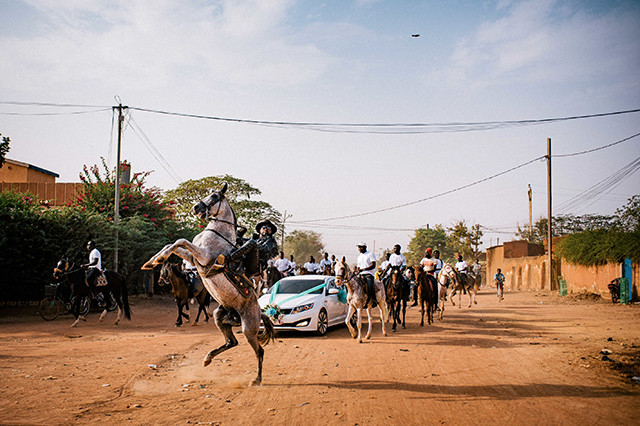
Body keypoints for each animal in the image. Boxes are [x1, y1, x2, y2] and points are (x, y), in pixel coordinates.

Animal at [142, 183, 276, 386]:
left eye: (214, 196)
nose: (196, 207)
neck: (217, 234)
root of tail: (260, 311)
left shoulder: (203, 257)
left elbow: (180, 241)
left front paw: (157, 259)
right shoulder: (194, 259)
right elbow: (174, 244)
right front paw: (152, 262)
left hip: (248, 328)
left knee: (259, 351)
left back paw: (256, 379)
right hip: (219, 316)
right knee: (232, 342)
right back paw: (207, 358)